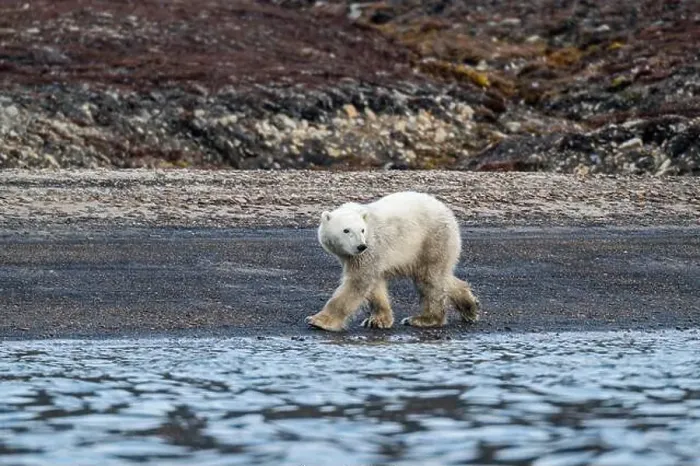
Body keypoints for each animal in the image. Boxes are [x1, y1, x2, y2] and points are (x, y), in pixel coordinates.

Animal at [305, 191, 480, 332]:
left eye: (362, 230)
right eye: (346, 230)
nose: (361, 246)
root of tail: (448, 212)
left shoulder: (371, 247)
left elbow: (357, 282)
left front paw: (318, 321)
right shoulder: (366, 255)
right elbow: (375, 285)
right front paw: (378, 320)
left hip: (432, 238)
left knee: (429, 278)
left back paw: (423, 319)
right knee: (442, 276)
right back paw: (470, 307)